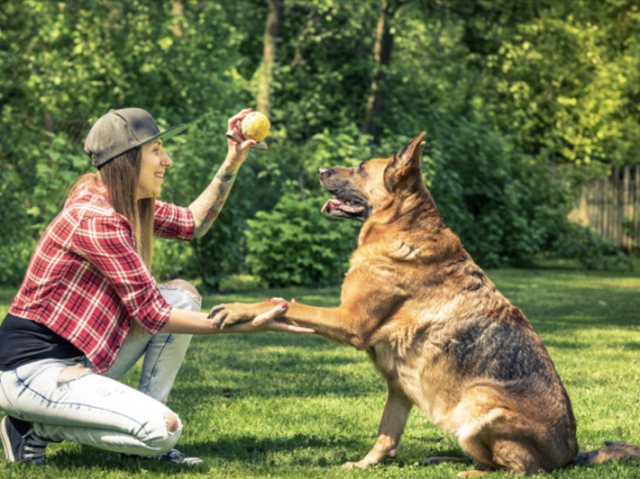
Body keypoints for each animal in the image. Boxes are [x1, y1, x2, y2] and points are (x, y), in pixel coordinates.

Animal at [211, 134, 640, 476]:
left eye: (361, 167)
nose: (318, 170)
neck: (402, 227)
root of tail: (570, 455)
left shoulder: (350, 321)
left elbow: (283, 302)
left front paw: (237, 307)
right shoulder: (399, 386)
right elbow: (386, 435)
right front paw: (365, 465)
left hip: (476, 406)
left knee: (517, 470)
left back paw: (470, 472)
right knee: (489, 460)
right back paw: (446, 460)